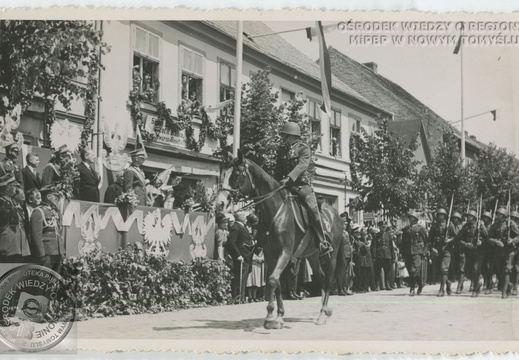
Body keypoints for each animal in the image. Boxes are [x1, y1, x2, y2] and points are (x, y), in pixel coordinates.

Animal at [220, 150, 346, 330]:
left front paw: (270, 316)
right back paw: (325, 309)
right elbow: (276, 283)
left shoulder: (285, 253)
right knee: (321, 278)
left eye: (236, 174)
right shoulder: (270, 255)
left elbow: (272, 280)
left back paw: (322, 314)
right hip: (312, 255)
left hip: (332, 255)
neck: (275, 211)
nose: (220, 202)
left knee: (328, 281)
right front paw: (277, 316)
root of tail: (335, 213)